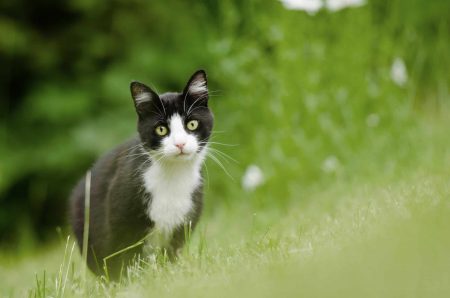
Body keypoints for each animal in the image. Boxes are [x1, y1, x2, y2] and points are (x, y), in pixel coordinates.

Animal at [69, 70, 214, 280]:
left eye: (192, 124)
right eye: (161, 129)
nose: (180, 144)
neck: (173, 175)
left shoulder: (186, 218)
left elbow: (172, 252)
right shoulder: (121, 218)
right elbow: (125, 254)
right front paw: (131, 280)